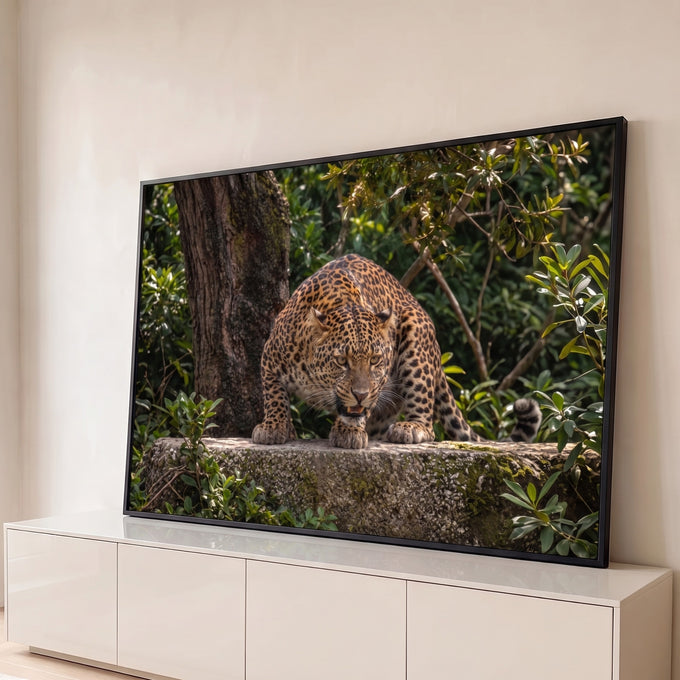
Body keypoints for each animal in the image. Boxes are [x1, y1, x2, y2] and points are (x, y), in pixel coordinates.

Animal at [251, 253, 541, 449]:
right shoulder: (270, 356)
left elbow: (359, 411)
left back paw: (411, 428)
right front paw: (274, 426)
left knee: (426, 419)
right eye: (341, 361)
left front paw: (348, 432)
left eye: (375, 360)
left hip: (416, 337)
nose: (360, 394)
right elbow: (274, 394)